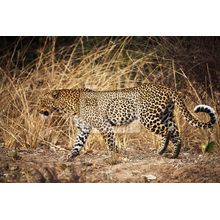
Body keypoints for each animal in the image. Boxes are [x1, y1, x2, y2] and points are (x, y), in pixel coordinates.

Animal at [37, 82, 217, 160]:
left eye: (42, 102)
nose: (38, 111)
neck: (67, 106)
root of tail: (166, 87)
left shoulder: (104, 125)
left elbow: (110, 143)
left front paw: (119, 153)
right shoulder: (84, 129)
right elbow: (77, 144)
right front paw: (70, 156)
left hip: (147, 117)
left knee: (166, 132)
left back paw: (161, 151)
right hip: (167, 116)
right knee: (176, 134)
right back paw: (173, 155)